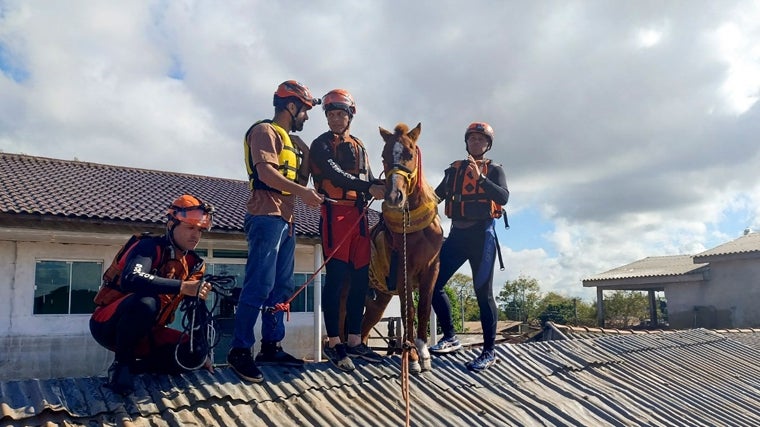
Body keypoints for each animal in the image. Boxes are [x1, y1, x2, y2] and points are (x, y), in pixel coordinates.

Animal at [360, 122, 442, 372]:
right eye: (384, 156)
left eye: (410, 153)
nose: (394, 196)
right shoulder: (404, 270)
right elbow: (409, 311)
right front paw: (412, 356)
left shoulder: (432, 268)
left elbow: (423, 307)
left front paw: (423, 352)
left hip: (378, 299)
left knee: (366, 324)